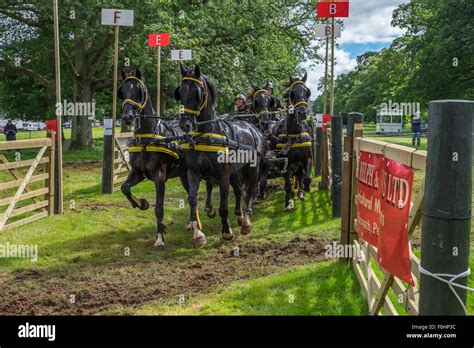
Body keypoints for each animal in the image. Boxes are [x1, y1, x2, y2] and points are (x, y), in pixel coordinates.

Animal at [175, 64, 266, 246]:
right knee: (238, 189)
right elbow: (192, 200)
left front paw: (227, 231)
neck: (205, 134)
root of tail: (253, 128)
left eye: (197, 93)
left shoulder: (223, 174)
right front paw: (198, 234)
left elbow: (223, 207)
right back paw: (239, 213)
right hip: (237, 170)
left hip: (253, 168)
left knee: (250, 190)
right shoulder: (193, 173)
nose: (185, 124)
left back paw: (246, 220)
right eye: (180, 92)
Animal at [272, 72, 312, 211]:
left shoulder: (306, 158)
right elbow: (287, 184)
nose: (302, 113)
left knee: (299, 175)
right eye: (292, 93)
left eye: (307, 92)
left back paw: (300, 192)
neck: (294, 134)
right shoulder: (285, 162)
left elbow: (306, 178)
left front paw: (305, 189)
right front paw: (288, 202)